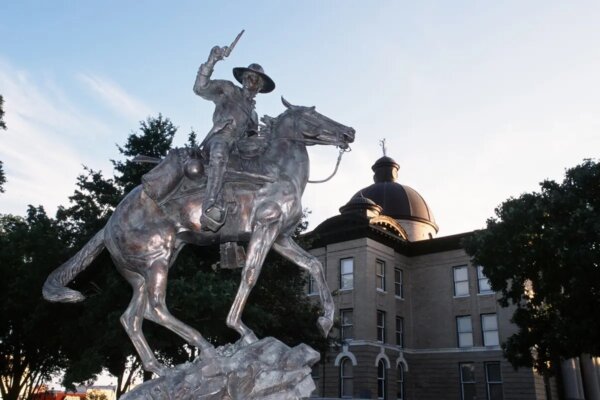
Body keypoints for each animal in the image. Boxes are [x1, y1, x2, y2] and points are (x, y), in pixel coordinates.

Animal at [43, 97, 356, 376]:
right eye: (313, 114)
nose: (349, 132)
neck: (277, 172)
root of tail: (108, 226)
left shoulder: (281, 237)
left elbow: (313, 265)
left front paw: (325, 321)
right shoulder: (265, 228)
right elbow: (250, 276)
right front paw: (242, 330)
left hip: (142, 272)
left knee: (132, 317)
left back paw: (160, 368)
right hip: (156, 262)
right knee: (156, 308)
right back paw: (204, 346)